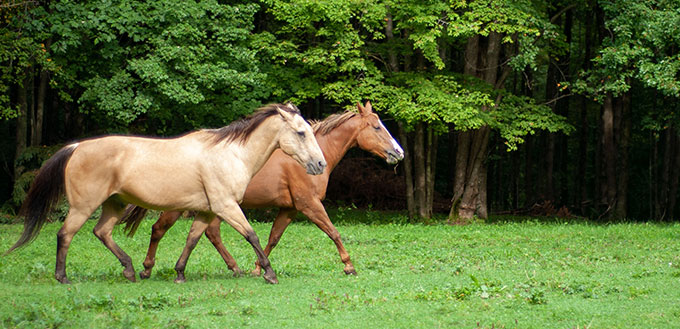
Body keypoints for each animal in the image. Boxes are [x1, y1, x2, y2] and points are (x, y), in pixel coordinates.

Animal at [4, 104, 324, 284]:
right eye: (301, 133)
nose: (319, 164)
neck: (230, 154)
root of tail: (77, 147)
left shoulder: (207, 210)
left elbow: (192, 240)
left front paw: (179, 273)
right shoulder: (226, 207)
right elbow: (252, 236)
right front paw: (269, 274)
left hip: (113, 205)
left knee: (102, 232)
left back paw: (131, 271)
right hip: (84, 206)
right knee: (65, 235)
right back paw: (63, 277)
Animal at [122, 100, 404, 276]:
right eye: (377, 127)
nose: (398, 152)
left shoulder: (289, 210)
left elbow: (273, 238)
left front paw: (258, 267)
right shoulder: (309, 204)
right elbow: (333, 232)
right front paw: (348, 266)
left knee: (210, 233)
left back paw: (234, 268)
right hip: (181, 207)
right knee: (159, 229)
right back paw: (147, 268)